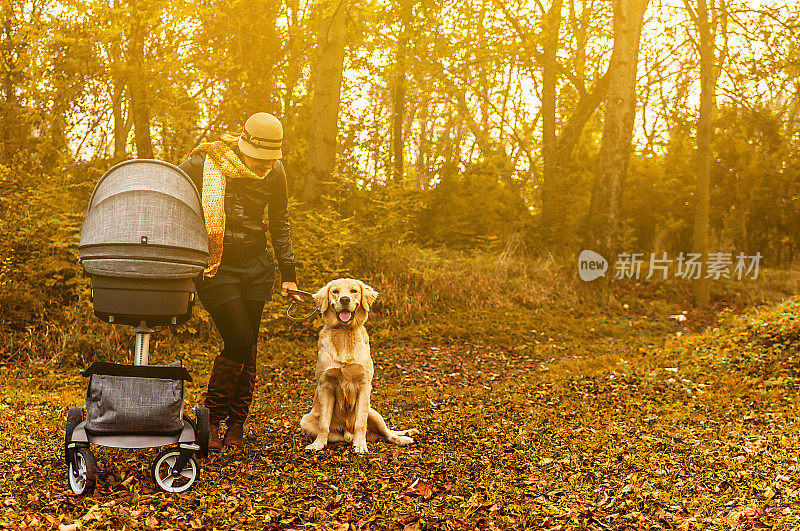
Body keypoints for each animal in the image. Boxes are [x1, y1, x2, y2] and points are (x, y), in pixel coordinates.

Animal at [300, 276, 418, 456]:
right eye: (335, 291)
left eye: (354, 291)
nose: (344, 299)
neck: (344, 334)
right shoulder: (325, 385)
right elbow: (324, 424)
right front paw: (318, 444)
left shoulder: (364, 385)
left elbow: (360, 422)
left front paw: (361, 444)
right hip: (306, 420)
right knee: (342, 436)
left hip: (373, 412)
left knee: (387, 433)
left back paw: (402, 439)